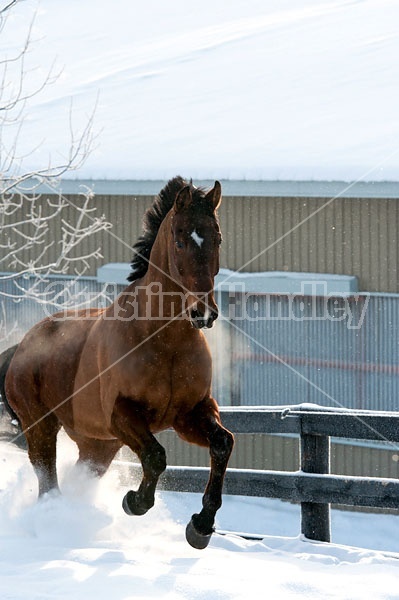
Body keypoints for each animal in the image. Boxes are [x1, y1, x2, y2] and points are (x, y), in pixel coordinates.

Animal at [0, 175, 234, 548]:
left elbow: (223, 444)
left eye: (217, 237)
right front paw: (134, 502)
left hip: (98, 445)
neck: (164, 342)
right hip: (41, 427)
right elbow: (156, 457)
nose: (203, 313)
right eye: (180, 239)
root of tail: (21, 347)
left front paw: (200, 526)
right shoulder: (122, 415)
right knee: (47, 480)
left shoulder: (189, 414)